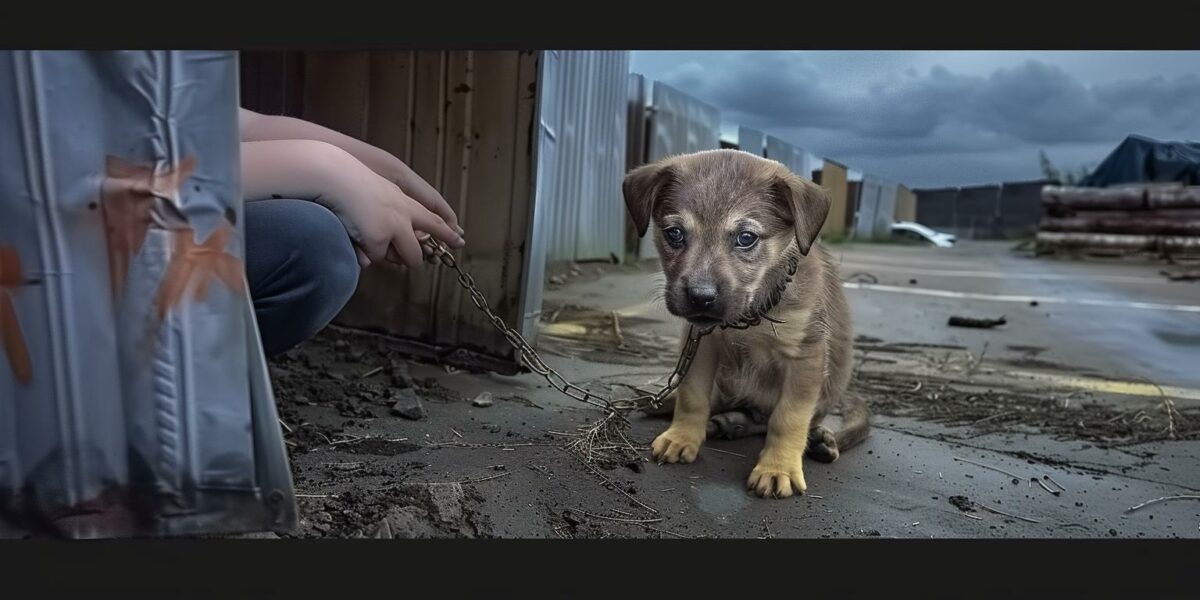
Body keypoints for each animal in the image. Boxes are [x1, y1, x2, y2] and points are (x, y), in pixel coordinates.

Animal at [624, 148, 868, 496]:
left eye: (746, 238)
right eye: (674, 234)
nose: (700, 297)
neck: (750, 318)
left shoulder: (805, 356)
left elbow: (788, 418)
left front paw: (778, 468)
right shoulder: (702, 344)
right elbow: (693, 395)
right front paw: (681, 437)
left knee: (798, 420)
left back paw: (821, 439)